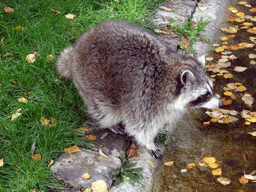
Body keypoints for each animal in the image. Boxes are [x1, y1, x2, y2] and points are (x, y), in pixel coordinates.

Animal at [56, 20, 222, 159]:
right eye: (205, 95)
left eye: (212, 89)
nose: (220, 104)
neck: (170, 73)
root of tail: (77, 48)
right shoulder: (146, 94)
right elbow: (140, 126)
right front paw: (149, 143)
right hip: (92, 78)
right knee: (105, 109)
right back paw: (110, 123)